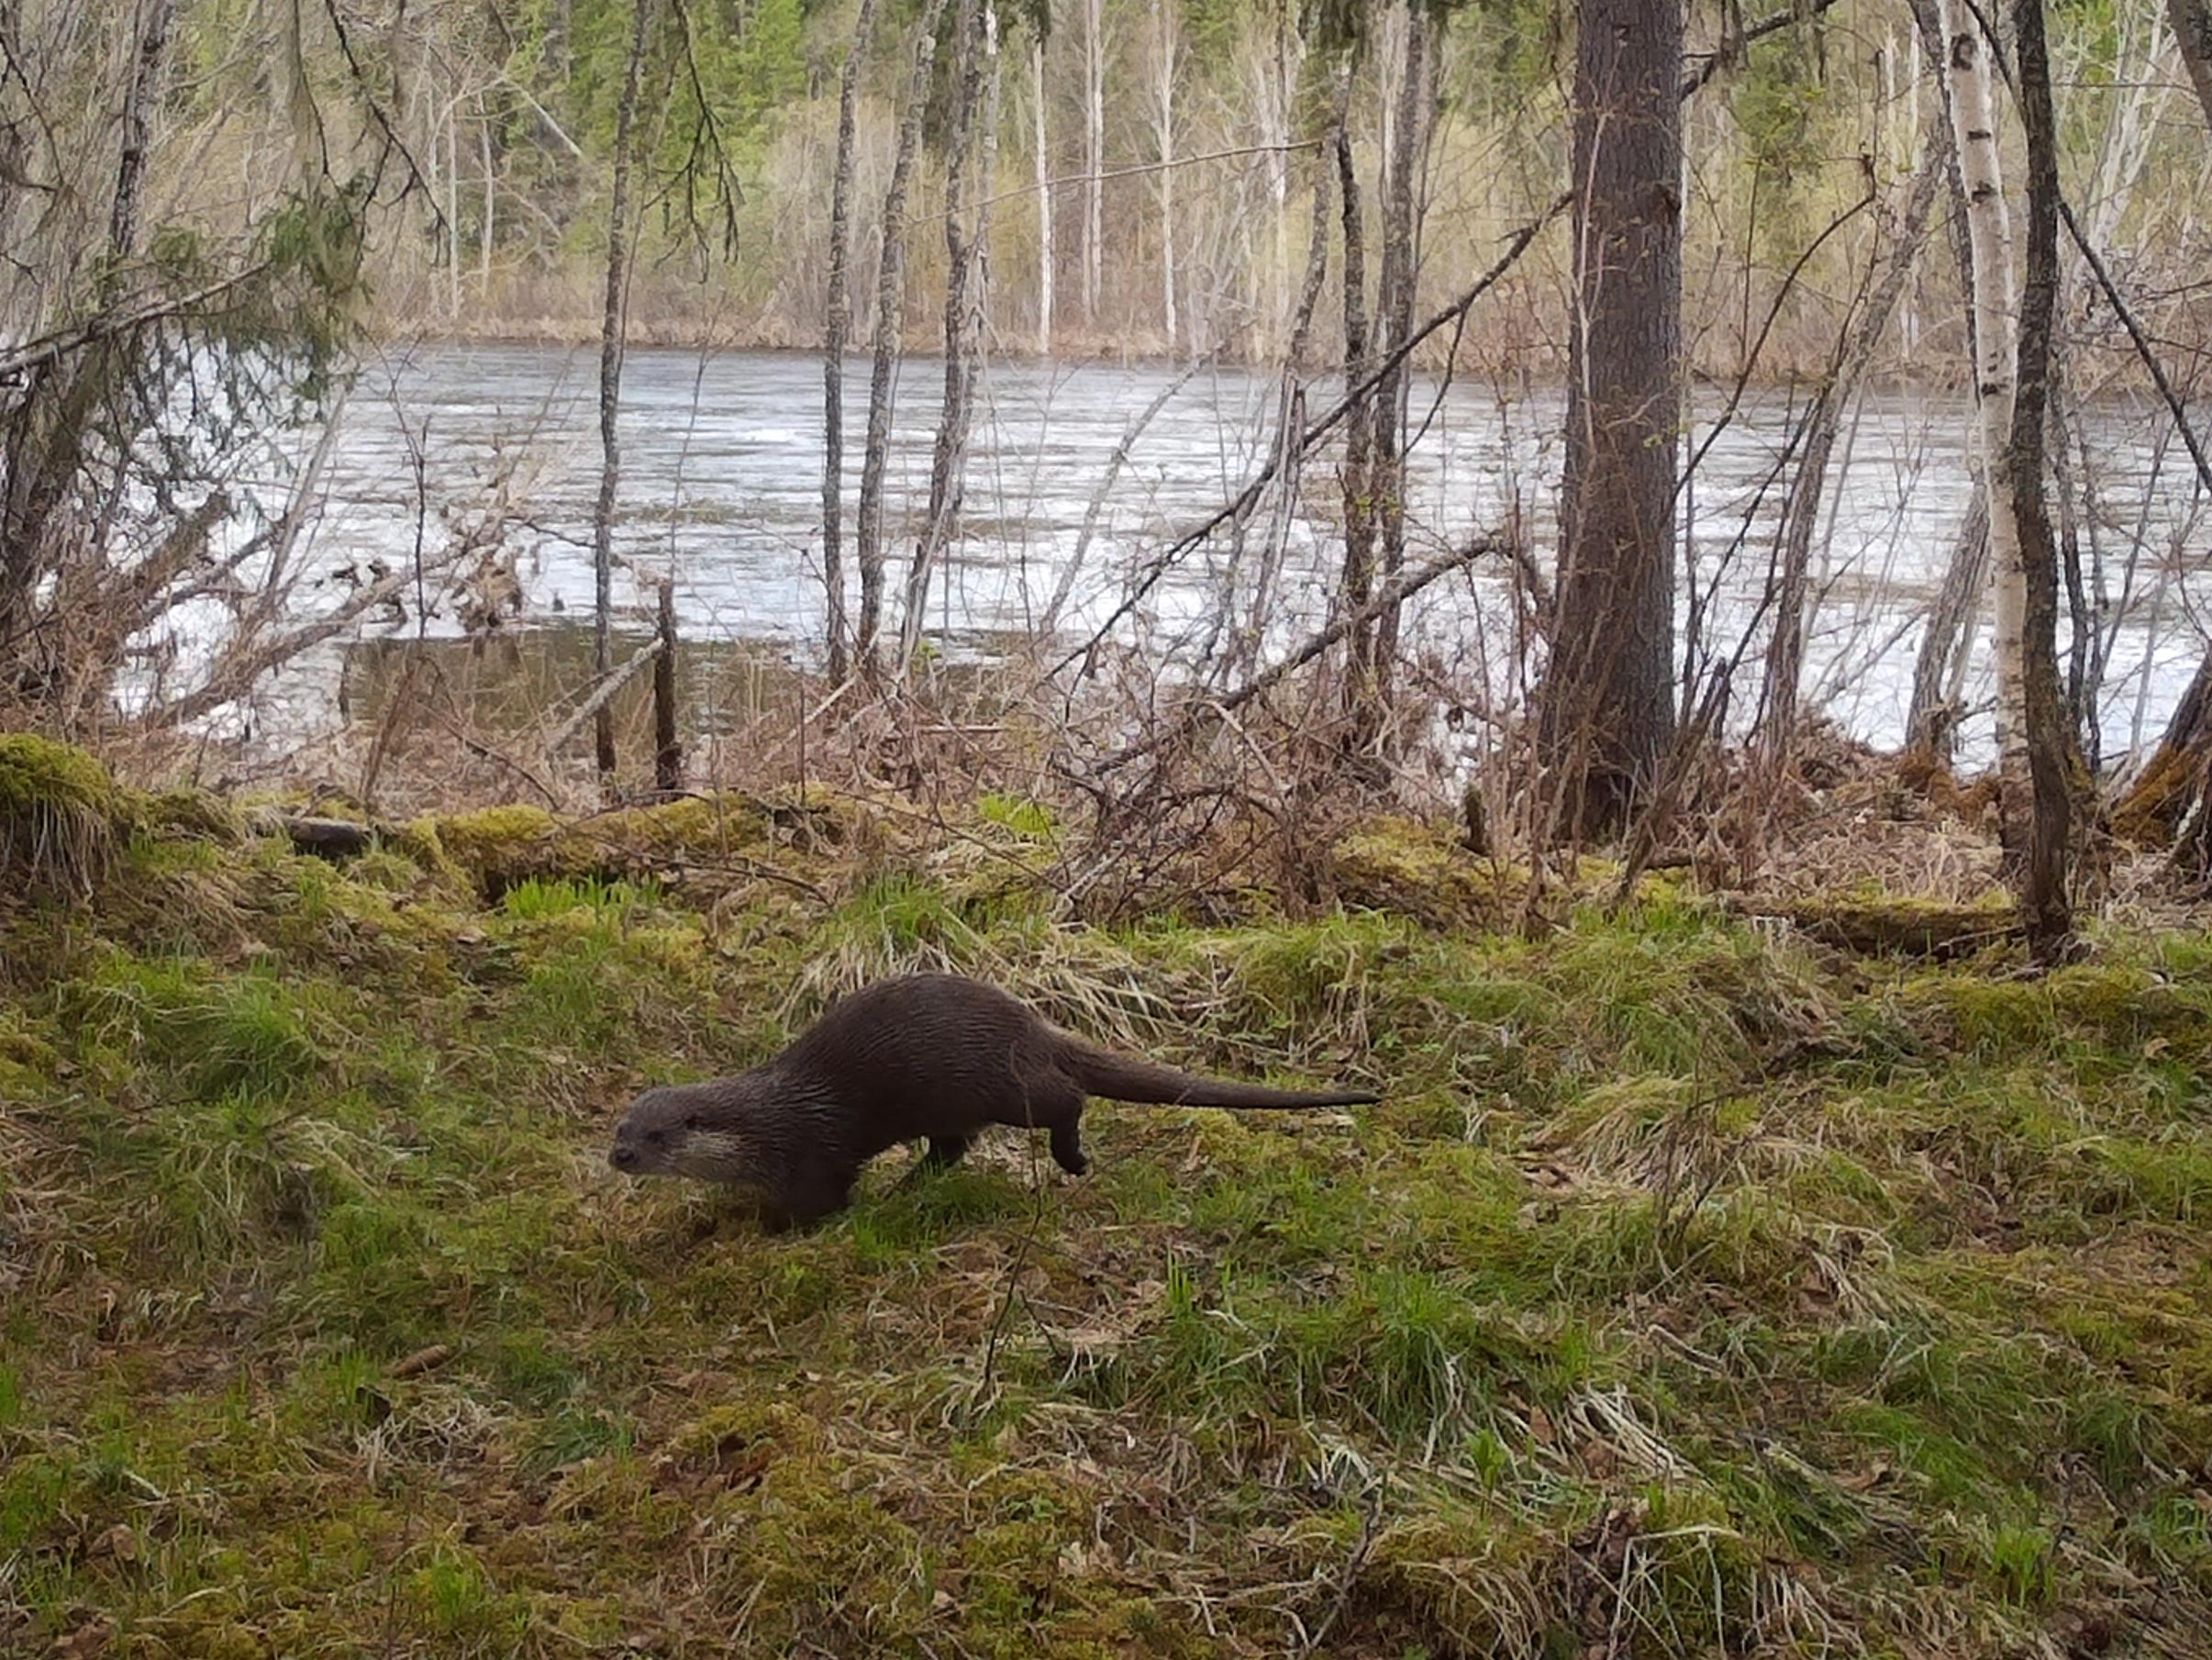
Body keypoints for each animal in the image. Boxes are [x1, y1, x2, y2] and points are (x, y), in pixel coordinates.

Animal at [601, 974, 1362, 1239]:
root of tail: (1028, 1022)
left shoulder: (813, 1154)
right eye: (622, 1125)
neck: (762, 1123)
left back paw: (1071, 1160)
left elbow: (819, 1201)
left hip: (993, 1081)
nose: (619, 1154)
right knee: (952, 1149)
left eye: (658, 1134)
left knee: (1064, 1098)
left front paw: (773, 1231)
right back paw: (910, 1188)